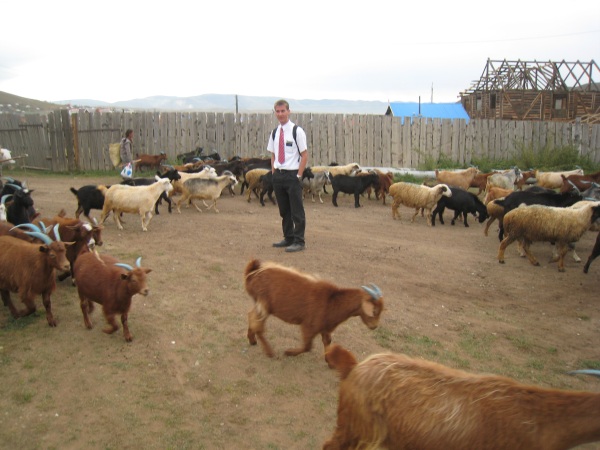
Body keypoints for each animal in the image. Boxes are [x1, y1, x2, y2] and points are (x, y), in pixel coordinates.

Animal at [244, 260, 384, 358]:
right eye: (374, 311)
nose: (374, 326)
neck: (332, 301)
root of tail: (253, 272)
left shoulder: (325, 327)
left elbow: (327, 341)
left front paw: (329, 361)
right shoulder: (309, 326)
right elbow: (307, 346)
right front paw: (289, 352)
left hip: (260, 305)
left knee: (251, 316)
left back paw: (252, 340)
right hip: (264, 305)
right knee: (258, 325)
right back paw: (270, 352)